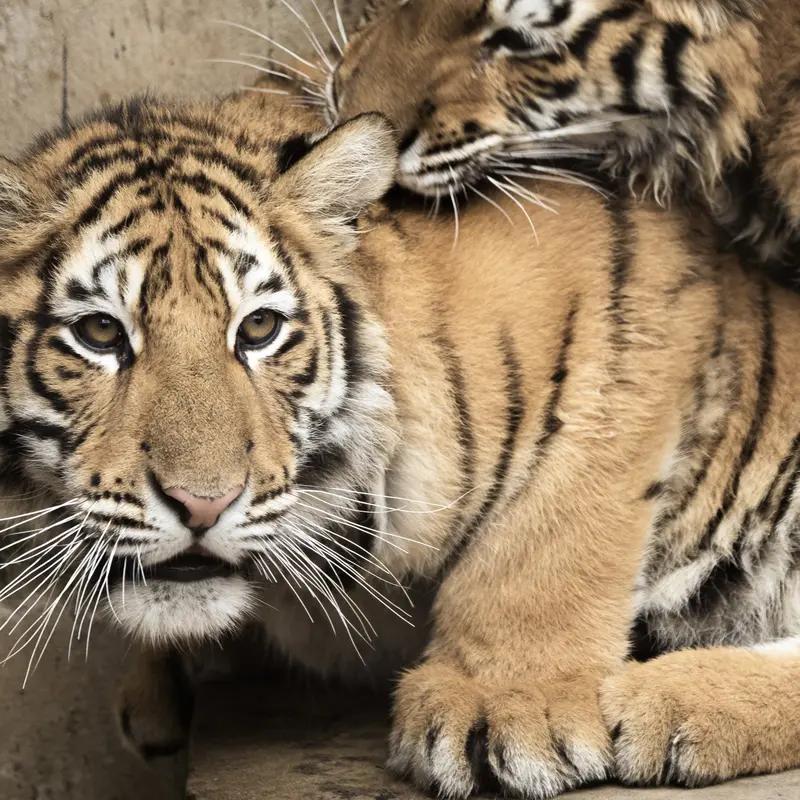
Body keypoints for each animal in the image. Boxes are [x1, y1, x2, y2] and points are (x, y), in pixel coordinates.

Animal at [2, 89, 800, 800]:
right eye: (99, 333)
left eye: (258, 329)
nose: (204, 505)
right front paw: (155, 689)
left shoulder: (635, 302)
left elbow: (547, 532)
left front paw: (502, 701)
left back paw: (665, 702)